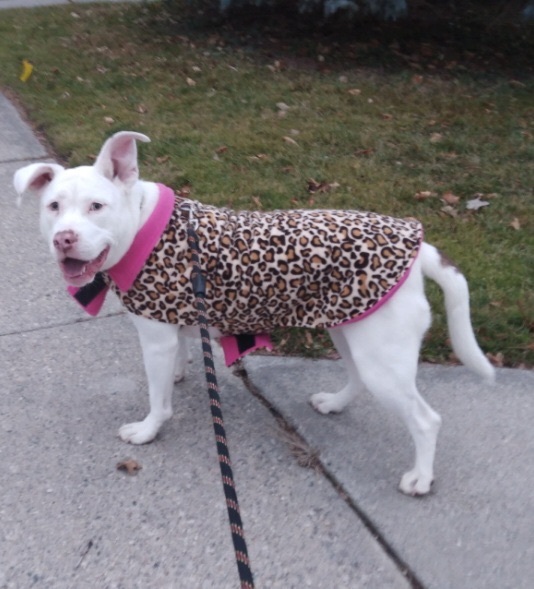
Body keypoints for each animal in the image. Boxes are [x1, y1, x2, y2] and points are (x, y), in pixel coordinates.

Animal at [13, 131, 498, 494]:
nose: (64, 239)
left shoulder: (155, 337)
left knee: (425, 420)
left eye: (97, 206)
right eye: (53, 206)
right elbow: (177, 361)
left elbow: (157, 400)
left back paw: (420, 478)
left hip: (382, 354)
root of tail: (419, 249)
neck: (142, 227)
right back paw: (335, 403)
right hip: (350, 327)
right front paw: (178, 374)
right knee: (358, 378)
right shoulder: (172, 324)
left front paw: (148, 429)